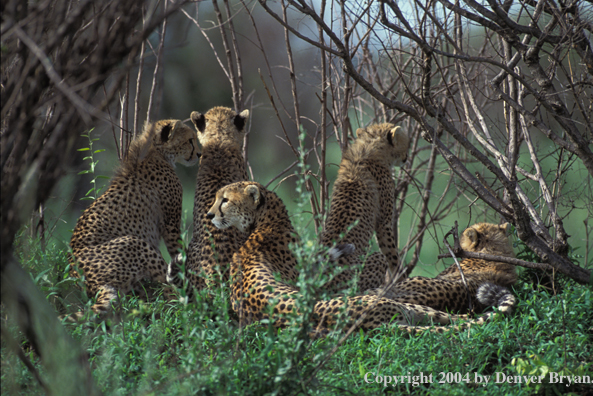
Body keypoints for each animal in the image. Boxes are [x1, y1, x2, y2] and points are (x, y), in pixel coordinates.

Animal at [69, 119, 199, 314]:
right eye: (190, 140)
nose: (199, 154)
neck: (155, 151)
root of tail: (86, 282)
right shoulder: (171, 225)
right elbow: (180, 253)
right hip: (134, 242)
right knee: (169, 290)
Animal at [322, 124, 410, 294]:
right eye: (406, 144)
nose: (406, 158)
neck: (370, 148)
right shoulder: (384, 223)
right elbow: (393, 256)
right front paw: (402, 279)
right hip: (372, 262)